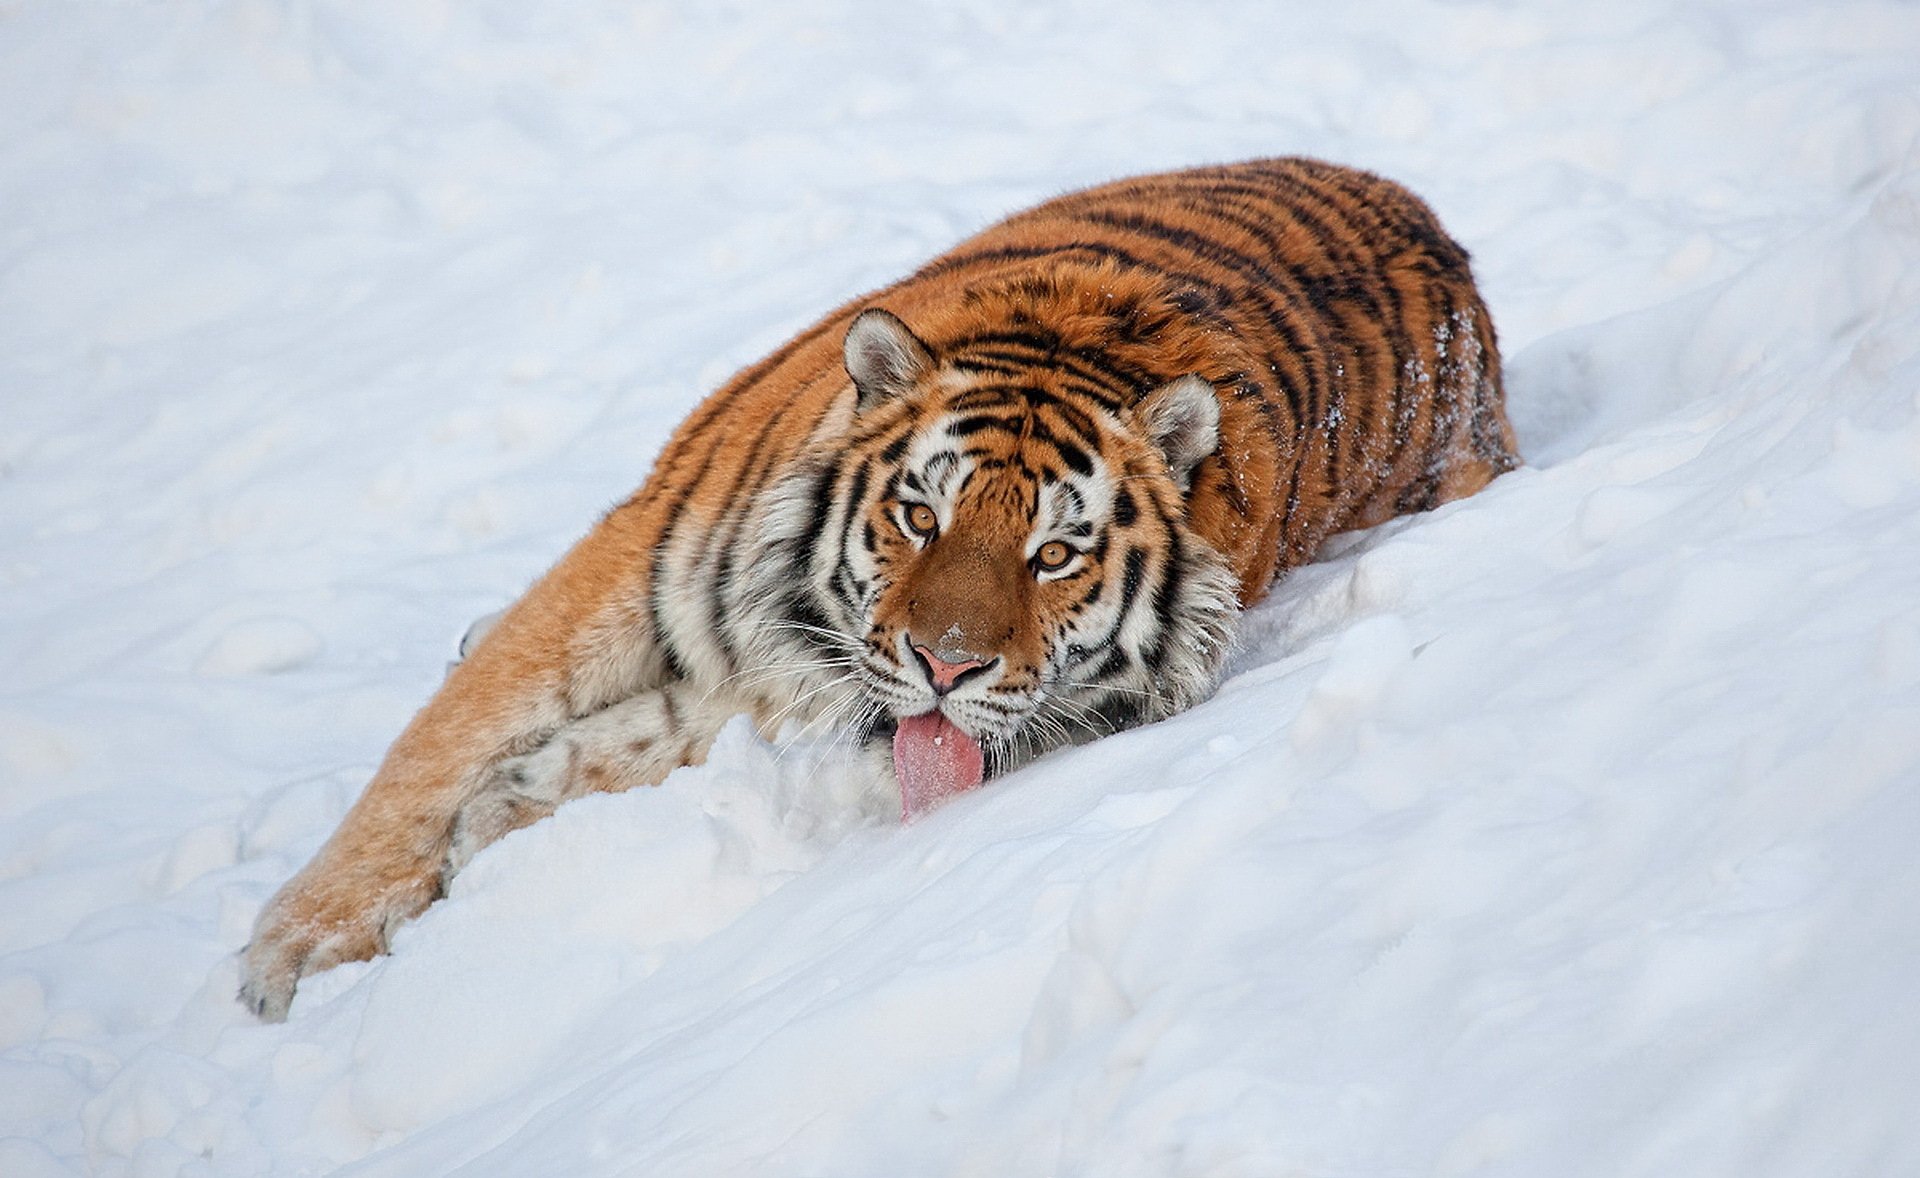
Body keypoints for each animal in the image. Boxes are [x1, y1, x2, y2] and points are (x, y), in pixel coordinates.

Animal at [240, 157, 1519, 1020]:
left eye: (1055, 556)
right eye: (919, 516)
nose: (946, 664)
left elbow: (618, 739)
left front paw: (505, 809)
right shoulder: (640, 563)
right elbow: (436, 746)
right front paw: (293, 952)